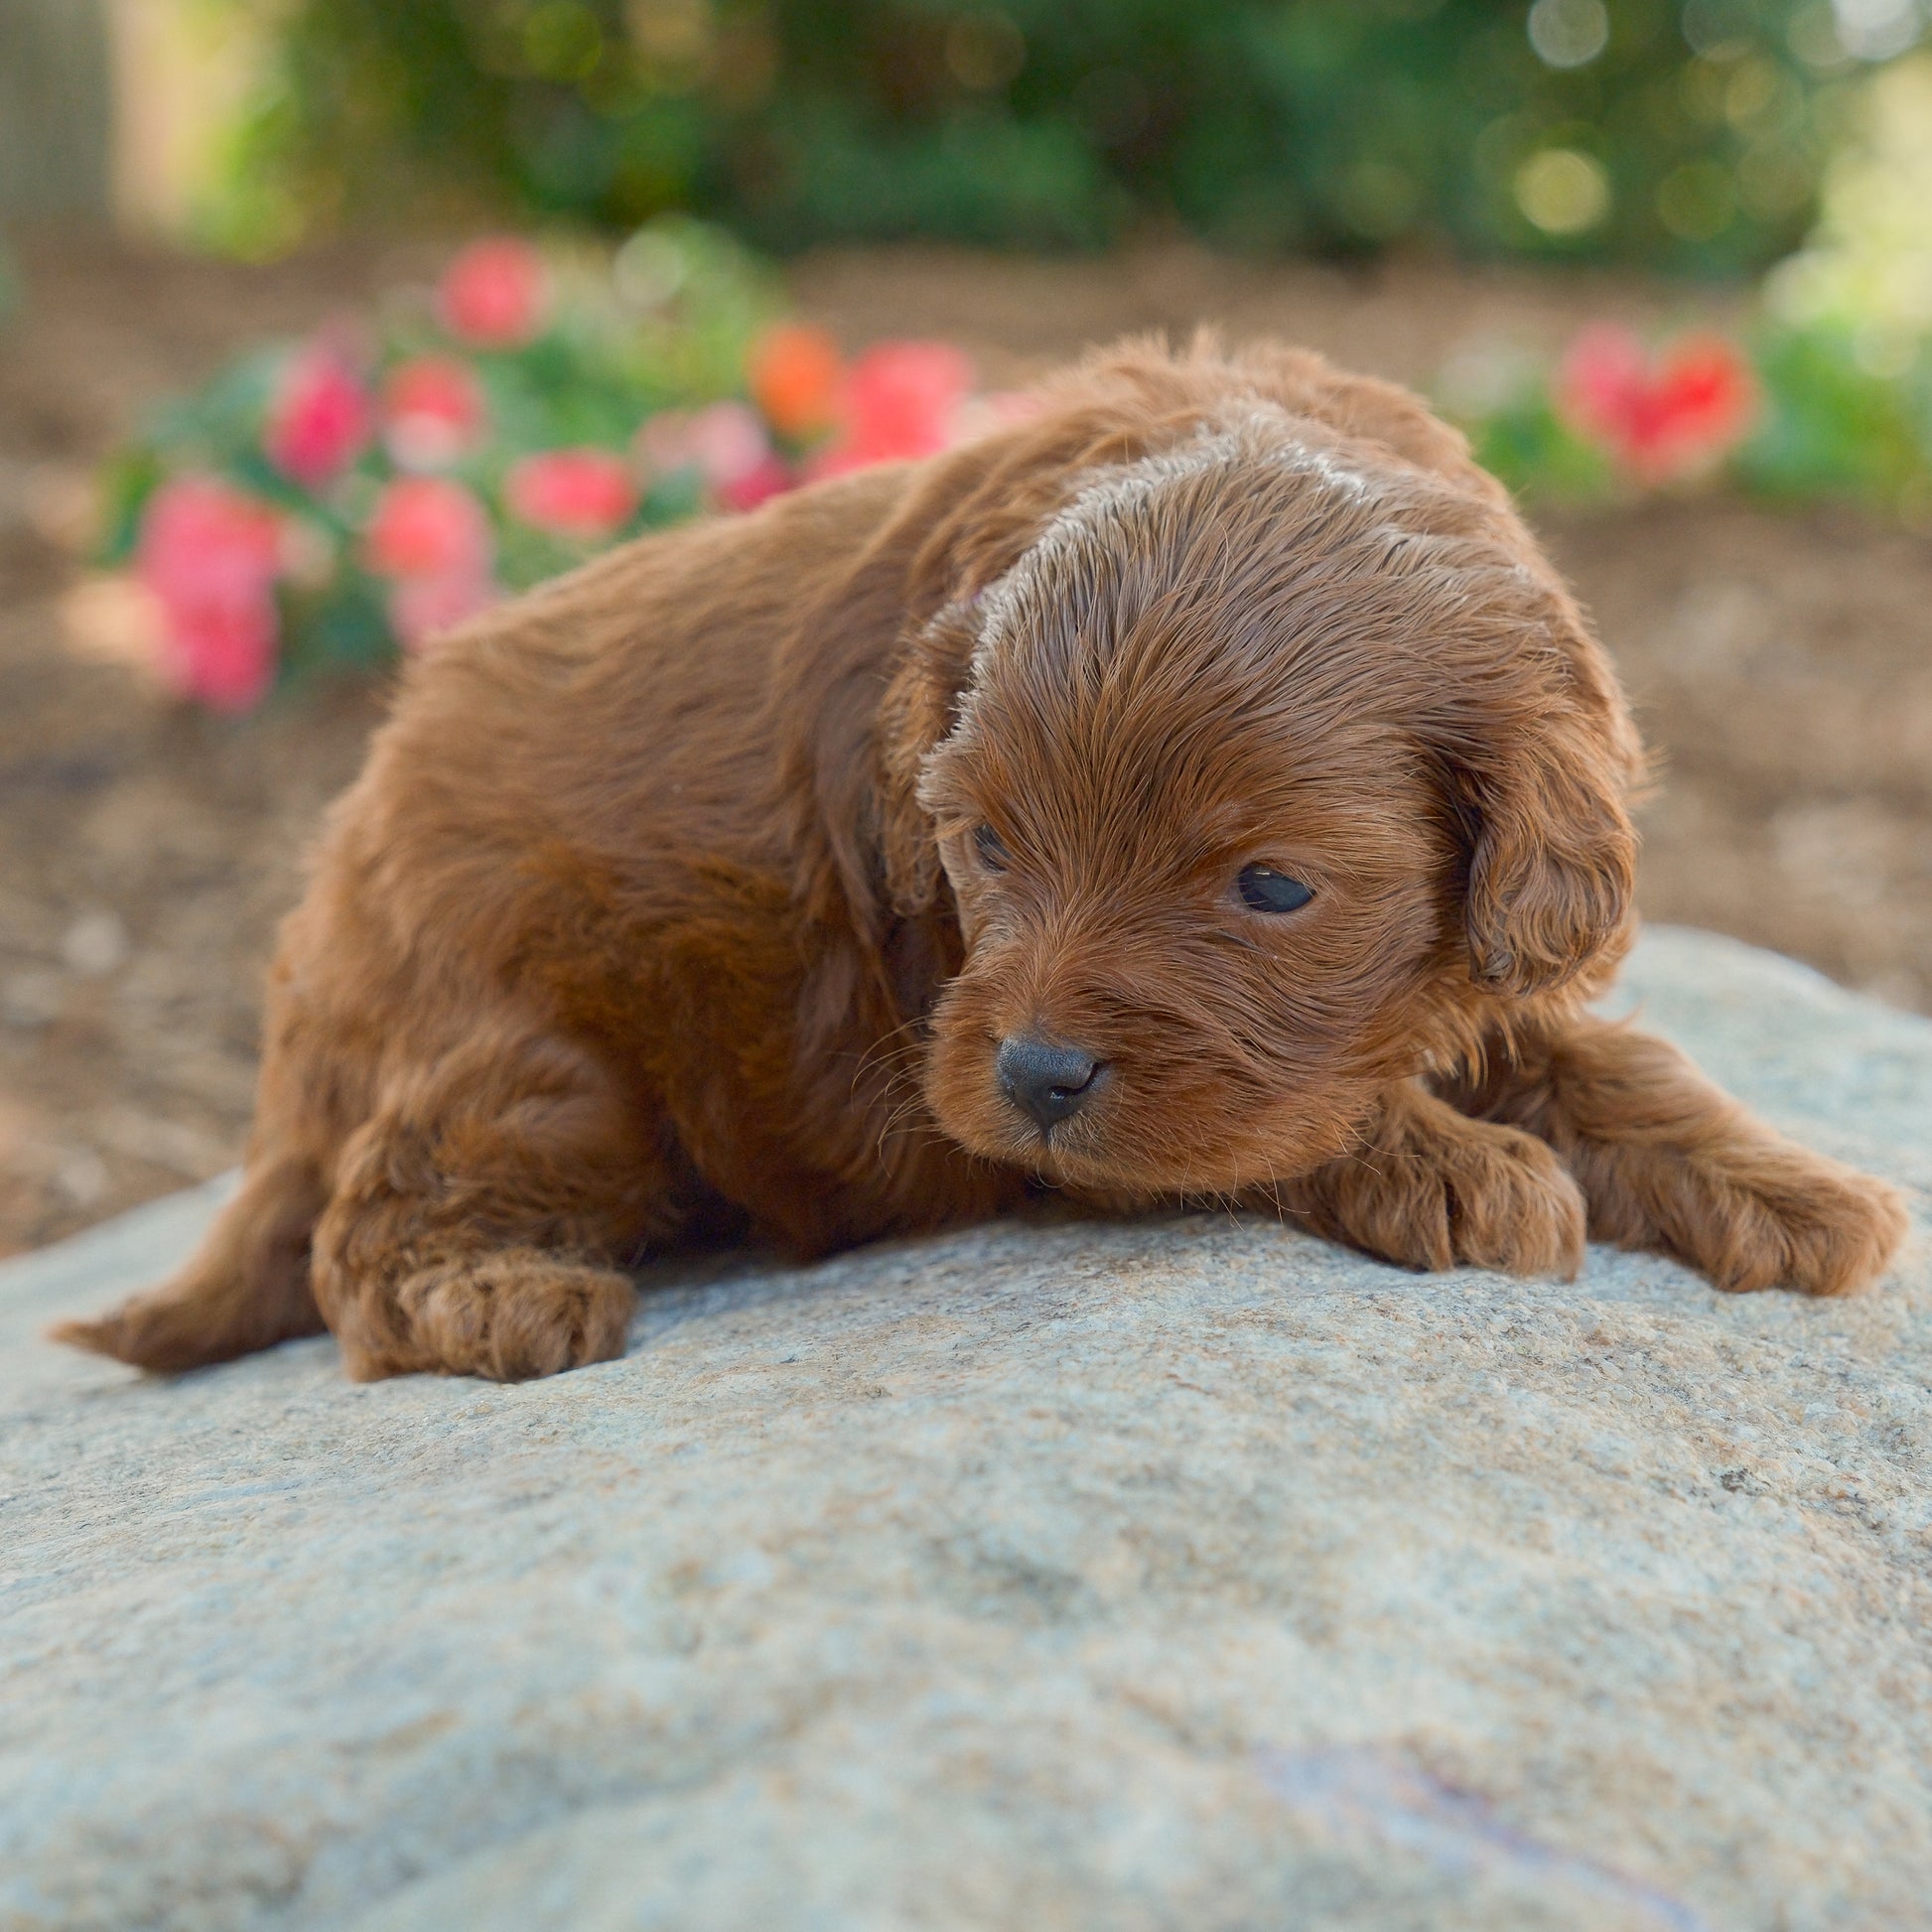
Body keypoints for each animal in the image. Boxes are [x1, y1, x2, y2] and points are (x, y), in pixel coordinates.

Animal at [53, 340, 1908, 1383]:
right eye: (984, 843)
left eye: (1272, 888)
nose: (1034, 1075)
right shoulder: (948, 1050)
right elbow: (1267, 1125)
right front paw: (1454, 1164)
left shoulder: (1476, 953)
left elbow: (1610, 1059)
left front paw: (1794, 1185)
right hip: (530, 1058)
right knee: (366, 1235)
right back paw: (504, 1296)